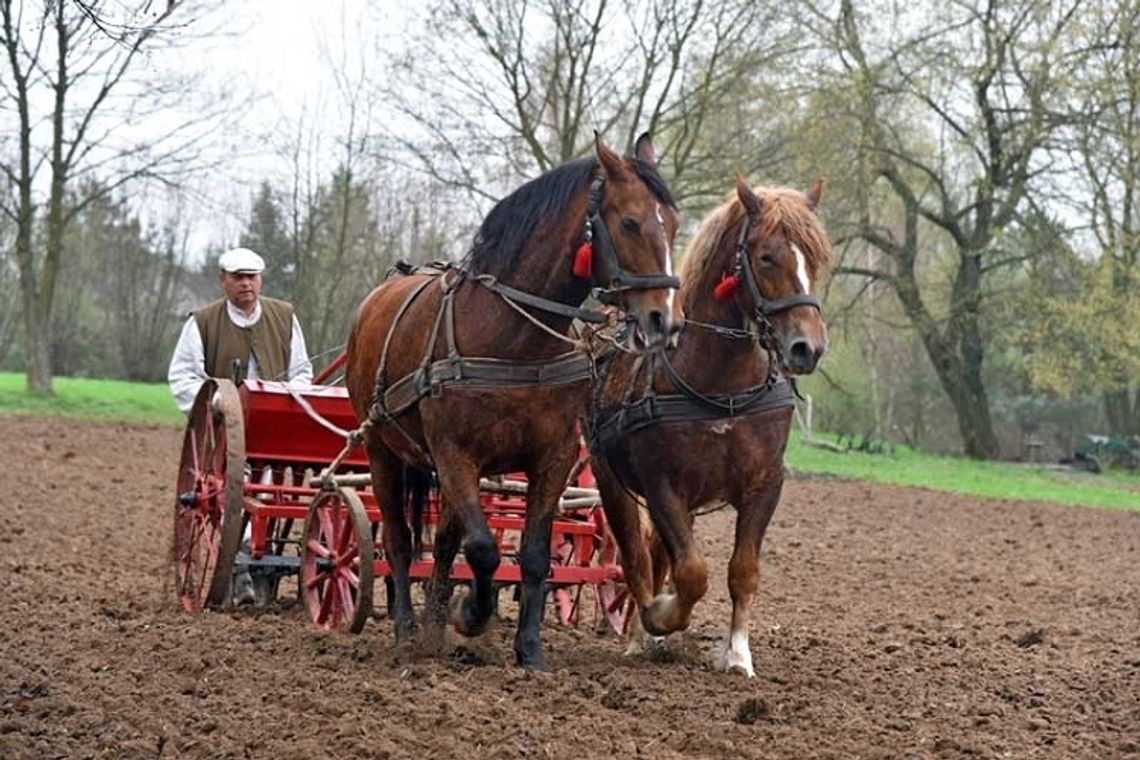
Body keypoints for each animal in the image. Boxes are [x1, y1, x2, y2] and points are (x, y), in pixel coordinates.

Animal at [339, 133, 674, 669]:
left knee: (444, 543)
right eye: (629, 222)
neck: (513, 338)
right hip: (383, 451)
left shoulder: (554, 456)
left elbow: (531, 555)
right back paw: (409, 631)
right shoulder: (455, 455)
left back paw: (433, 625)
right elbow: (483, 549)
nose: (663, 320)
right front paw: (471, 614)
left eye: (674, 223)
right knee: (398, 541)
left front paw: (528, 648)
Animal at [592, 176, 834, 679]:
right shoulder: (662, 484)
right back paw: (643, 631)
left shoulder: (765, 483)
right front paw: (660, 617)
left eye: (816, 257)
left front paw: (738, 654)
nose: (809, 348)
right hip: (611, 480)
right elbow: (690, 573)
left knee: (657, 552)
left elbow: (742, 571)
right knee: (636, 554)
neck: (722, 386)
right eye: (766, 256)